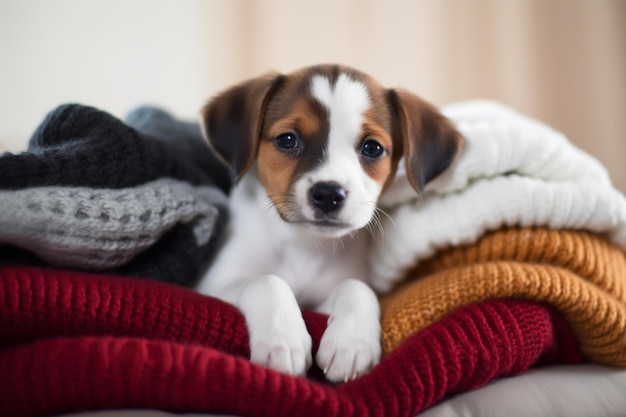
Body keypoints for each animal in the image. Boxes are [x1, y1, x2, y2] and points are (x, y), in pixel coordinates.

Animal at [197, 64, 460, 380]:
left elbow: (357, 287)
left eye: (372, 147)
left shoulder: (329, 294)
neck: (305, 245)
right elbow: (268, 281)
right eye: (287, 140)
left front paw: (351, 343)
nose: (328, 194)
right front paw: (283, 340)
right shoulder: (213, 283)